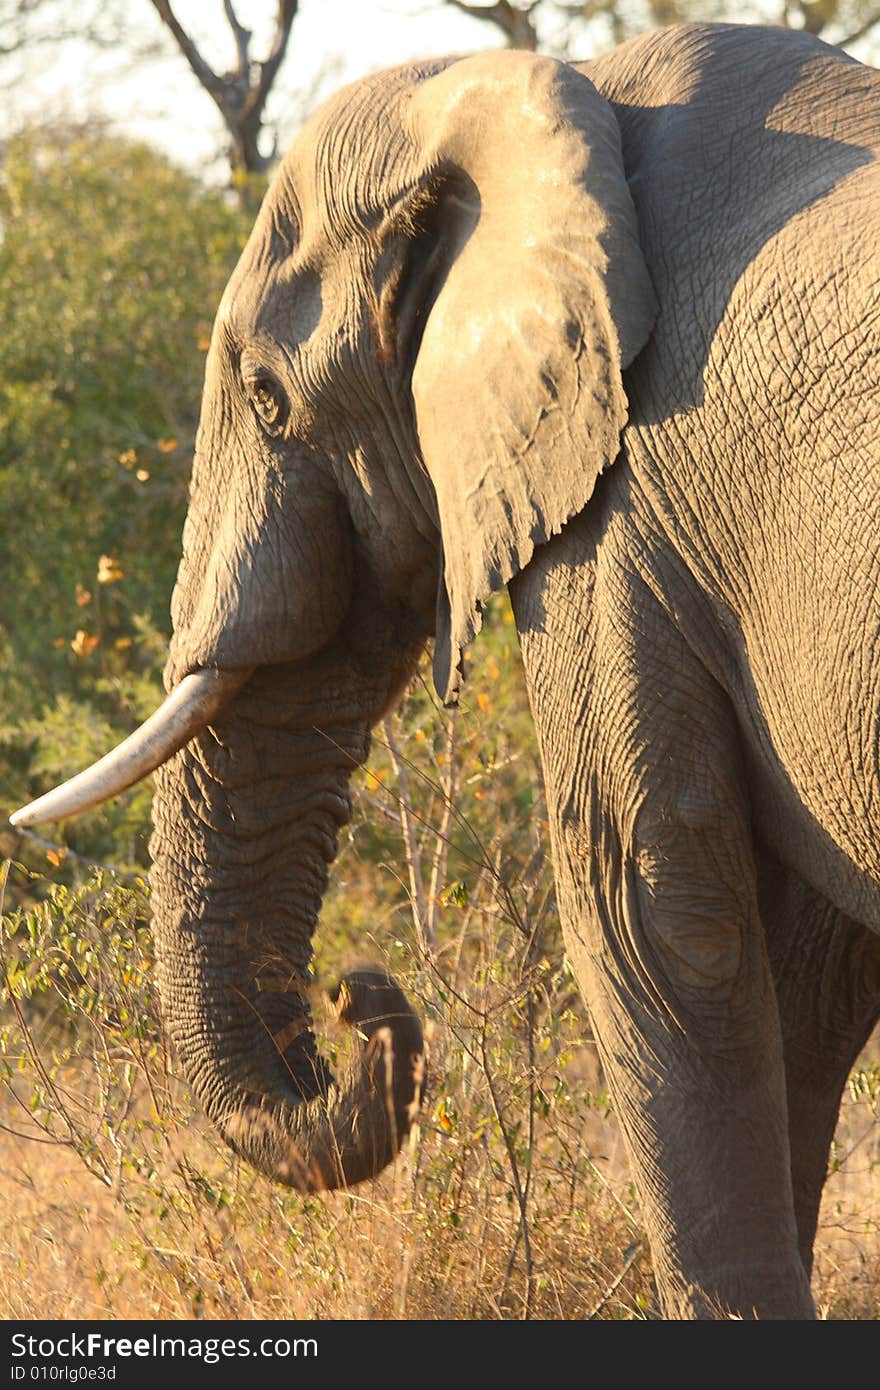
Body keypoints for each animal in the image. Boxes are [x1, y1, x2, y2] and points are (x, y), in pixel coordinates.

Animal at [11, 21, 878, 1317]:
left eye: (266, 397)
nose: (357, 995)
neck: (541, 100)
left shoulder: (625, 507)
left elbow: (648, 903)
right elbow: (807, 969)